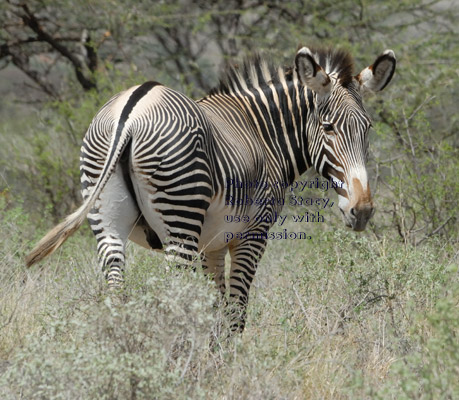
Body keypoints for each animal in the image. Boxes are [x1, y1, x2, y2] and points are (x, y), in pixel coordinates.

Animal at [27, 46, 398, 332]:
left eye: (367, 128)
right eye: (328, 127)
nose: (362, 211)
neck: (262, 132)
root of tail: (132, 111)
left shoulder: (213, 245)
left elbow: (215, 311)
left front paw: (214, 361)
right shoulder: (252, 234)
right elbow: (234, 314)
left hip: (106, 216)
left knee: (116, 289)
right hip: (180, 219)